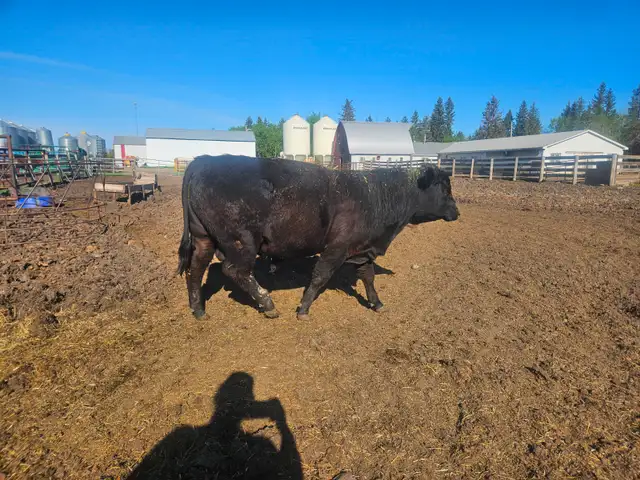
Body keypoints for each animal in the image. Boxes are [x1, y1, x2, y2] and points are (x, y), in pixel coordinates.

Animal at [177, 155, 459, 320]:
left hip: (203, 237)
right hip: (242, 240)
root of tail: (204, 160)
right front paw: (303, 308)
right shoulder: (337, 247)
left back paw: (198, 309)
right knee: (235, 270)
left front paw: (376, 303)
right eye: (444, 187)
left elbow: (368, 276)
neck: (373, 196)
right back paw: (267, 304)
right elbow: (320, 276)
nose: (457, 211)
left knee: (196, 269)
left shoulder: (362, 249)